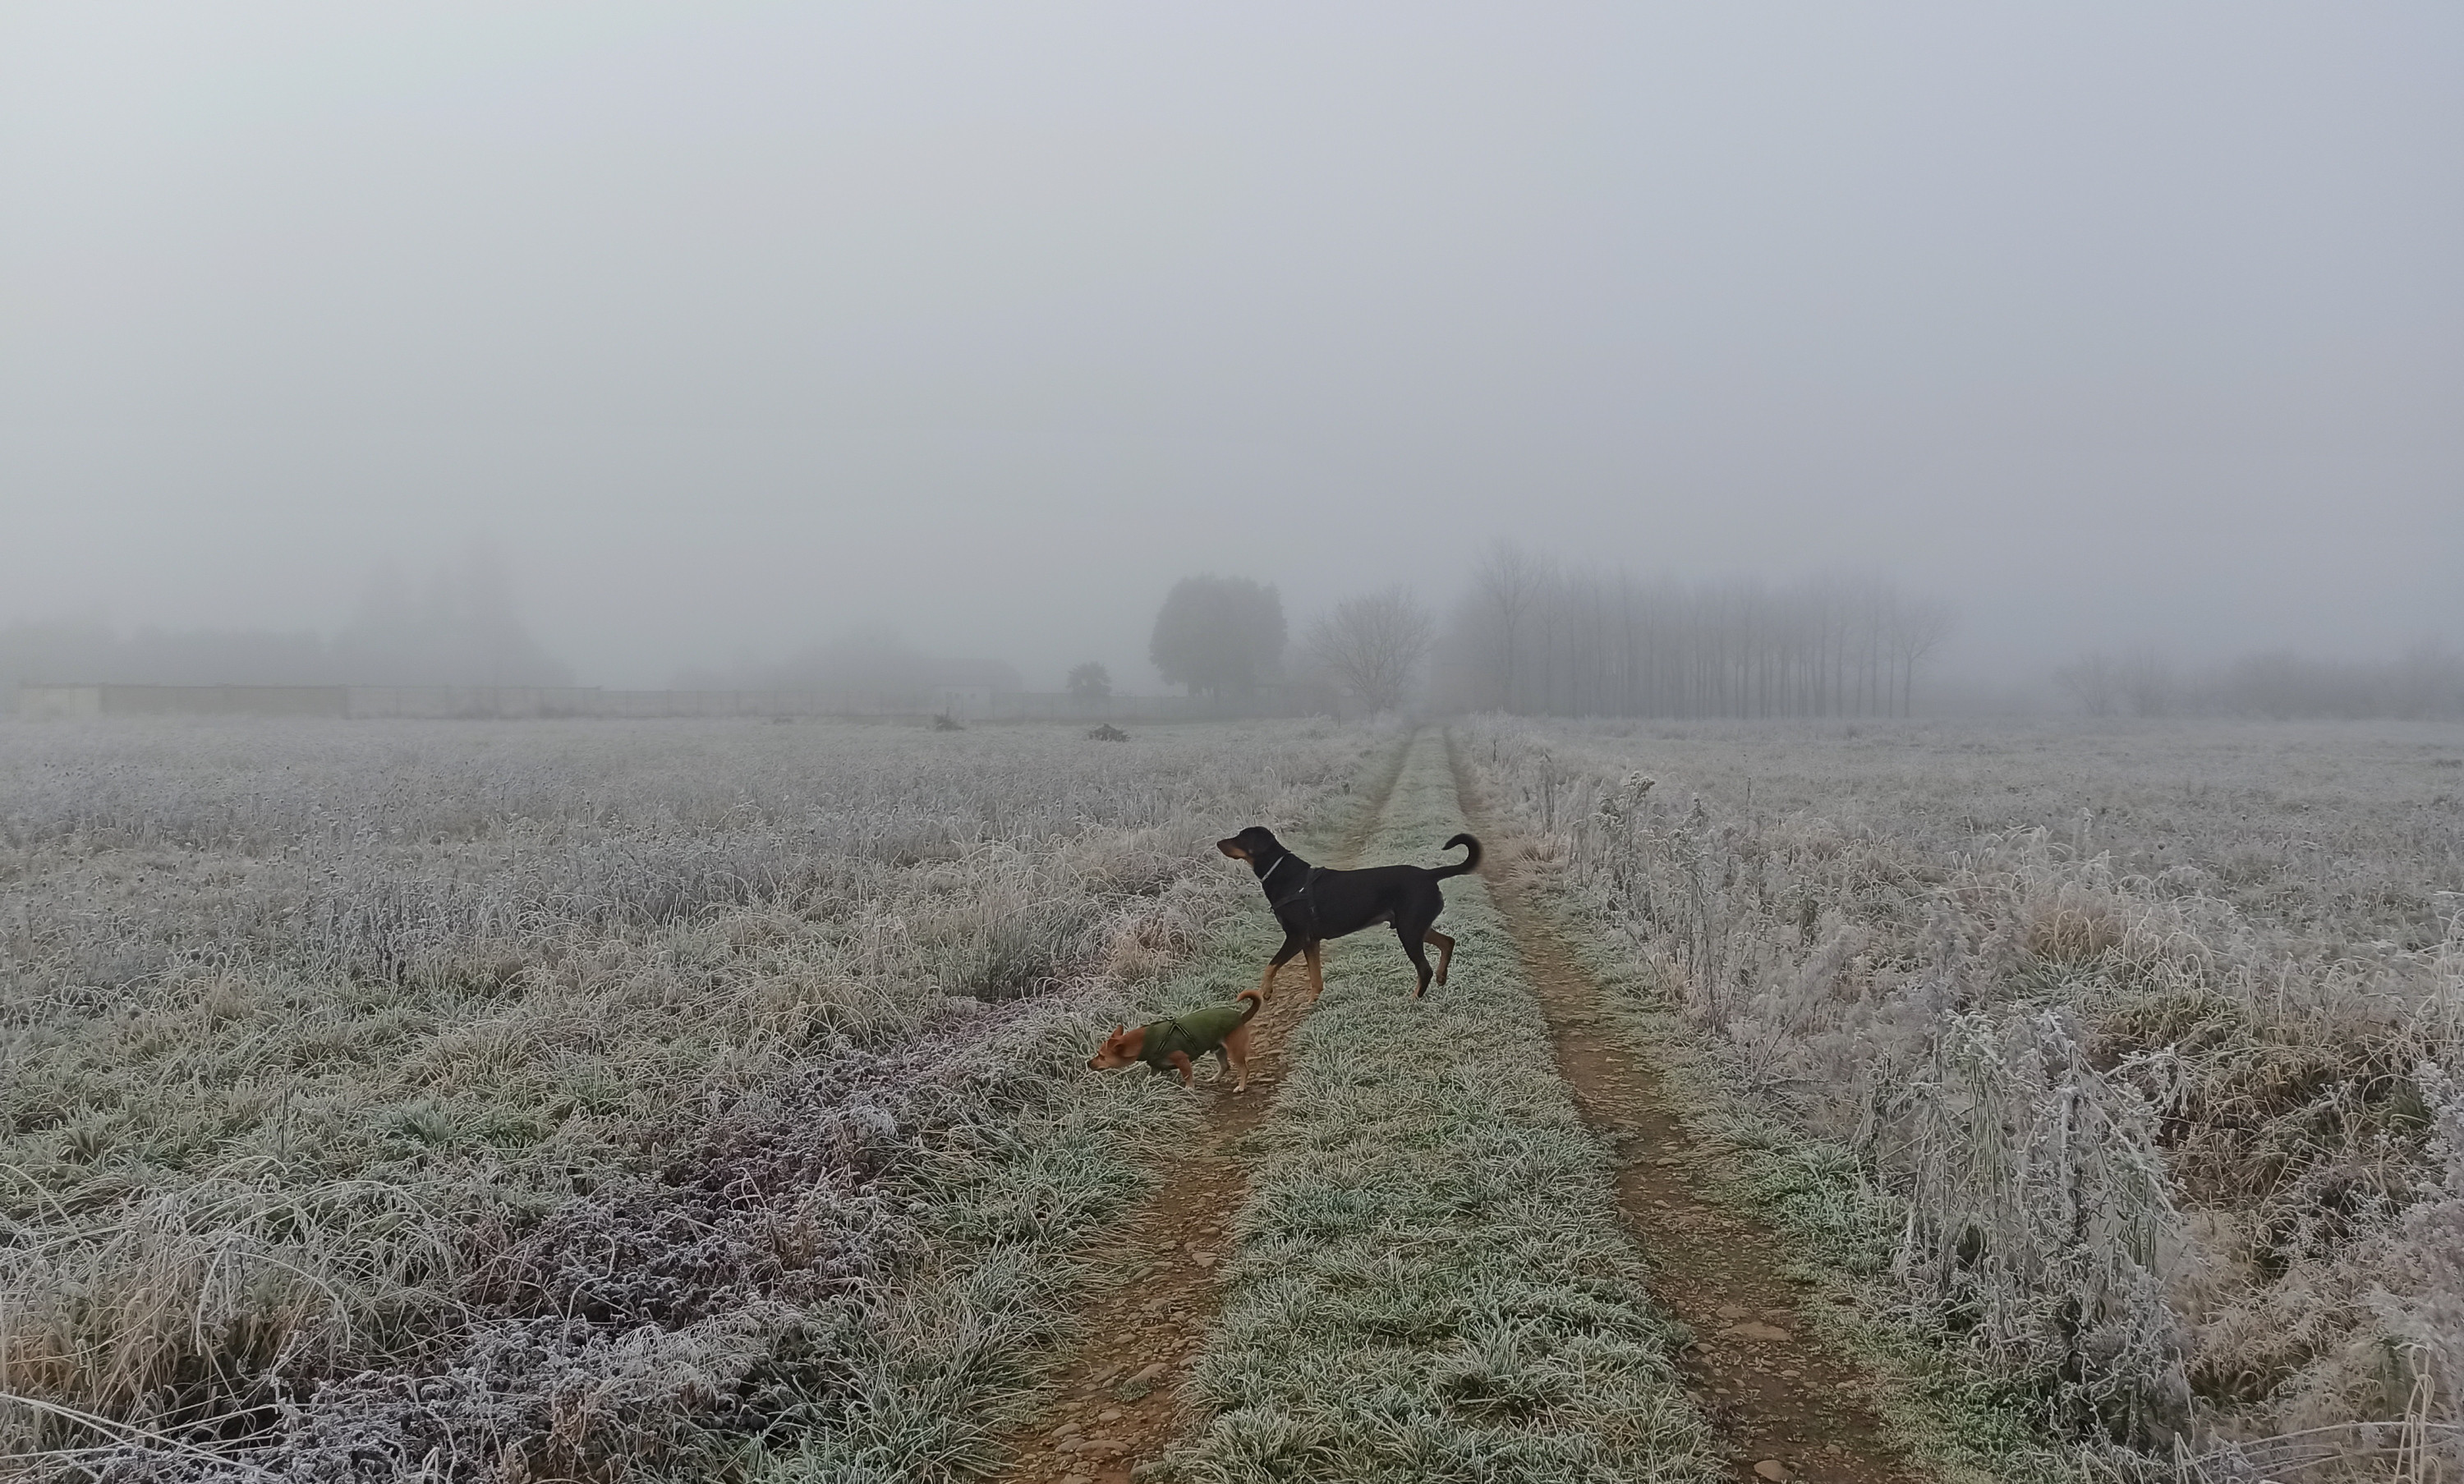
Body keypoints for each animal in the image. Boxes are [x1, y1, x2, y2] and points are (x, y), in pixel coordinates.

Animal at [1089, 995, 1262, 1084]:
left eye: (1102, 1056)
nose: (1088, 1063)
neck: (1144, 1042)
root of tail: (1240, 1016)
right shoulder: (1155, 1068)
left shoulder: (1182, 1060)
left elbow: (1188, 1078)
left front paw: (1189, 1091)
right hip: (1219, 1050)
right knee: (1225, 1066)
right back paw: (1214, 1079)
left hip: (1234, 1051)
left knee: (1244, 1069)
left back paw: (1241, 1087)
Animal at [1217, 818, 1478, 995]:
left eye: (1241, 837)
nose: (1218, 842)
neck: (1284, 875)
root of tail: (1429, 875)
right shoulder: (1311, 941)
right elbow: (1315, 979)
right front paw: (1314, 1003)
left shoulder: (1296, 937)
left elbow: (1270, 966)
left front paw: (1266, 991)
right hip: (1415, 926)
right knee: (1447, 942)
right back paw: (1442, 977)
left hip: (1409, 930)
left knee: (1424, 969)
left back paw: (1414, 999)